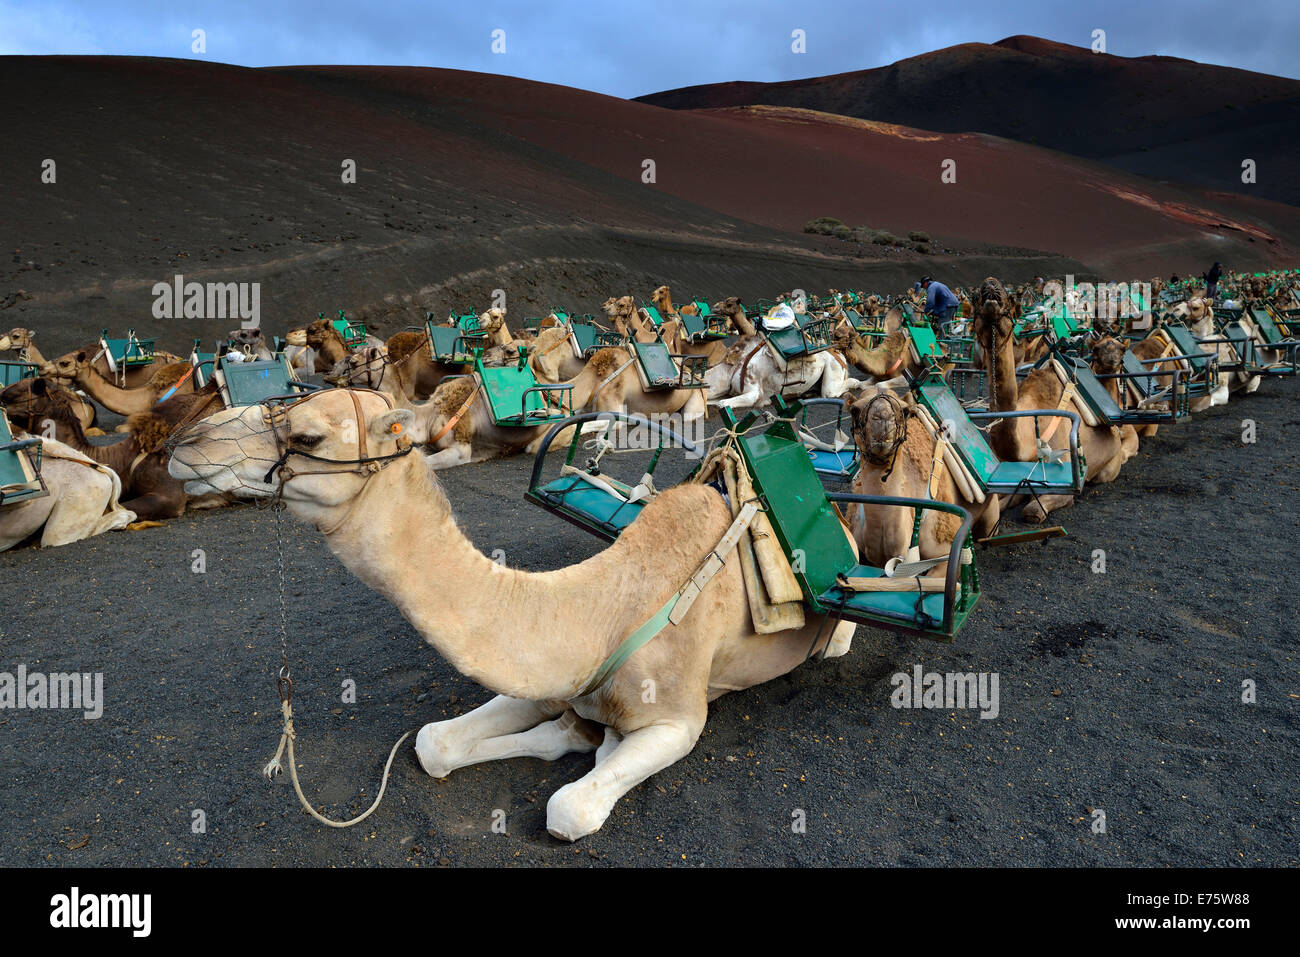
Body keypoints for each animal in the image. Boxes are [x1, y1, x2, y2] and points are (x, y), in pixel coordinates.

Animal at [167, 387, 857, 837]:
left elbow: (568, 809)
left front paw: (587, 751)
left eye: (307, 435)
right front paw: (564, 733)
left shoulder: (679, 717)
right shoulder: (553, 676)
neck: (601, 608)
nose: (183, 441)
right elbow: (433, 743)